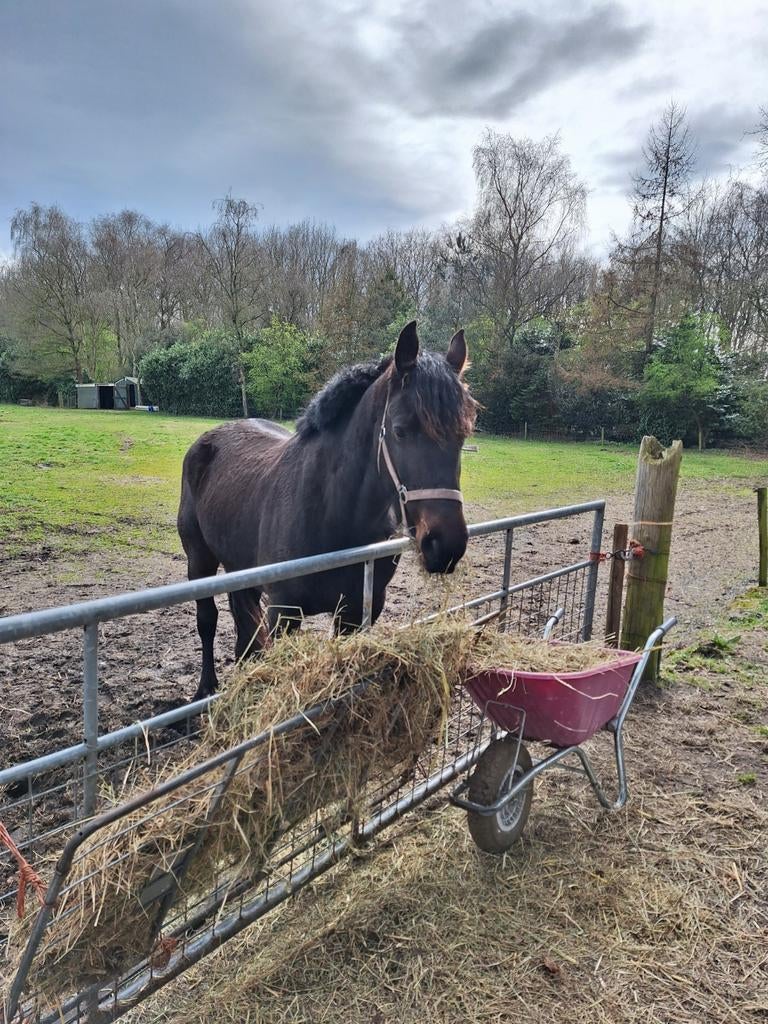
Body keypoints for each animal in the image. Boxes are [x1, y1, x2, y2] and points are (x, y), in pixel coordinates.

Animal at [178, 321, 477, 700]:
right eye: (400, 431)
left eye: (464, 435)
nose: (445, 544)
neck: (331, 513)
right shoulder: (284, 612)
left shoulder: (358, 611)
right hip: (199, 560)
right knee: (207, 620)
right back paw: (206, 688)